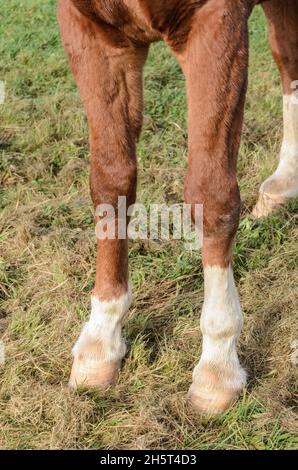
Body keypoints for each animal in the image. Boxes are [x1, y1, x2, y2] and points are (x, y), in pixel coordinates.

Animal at [57, 0, 298, 414]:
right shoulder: (91, 31)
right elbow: (111, 178)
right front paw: (101, 338)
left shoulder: (214, 26)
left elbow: (210, 192)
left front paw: (218, 365)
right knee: (288, 58)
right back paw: (284, 183)